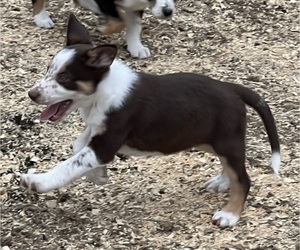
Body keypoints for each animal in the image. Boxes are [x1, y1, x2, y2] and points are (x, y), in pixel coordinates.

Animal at [21, 13, 282, 228]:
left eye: (64, 78)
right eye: (48, 70)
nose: (32, 94)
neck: (102, 91)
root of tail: (233, 88)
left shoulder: (106, 143)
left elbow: (69, 165)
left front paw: (37, 181)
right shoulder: (97, 130)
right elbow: (77, 148)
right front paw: (99, 176)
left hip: (226, 139)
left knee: (243, 179)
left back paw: (229, 215)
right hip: (208, 138)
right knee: (233, 167)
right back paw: (221, 181)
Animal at [31, 0, 176, 58]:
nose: (168, 11)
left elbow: (134, 25)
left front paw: (136, 47)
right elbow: (120, 21)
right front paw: (104, 27)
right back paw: (41, 17)